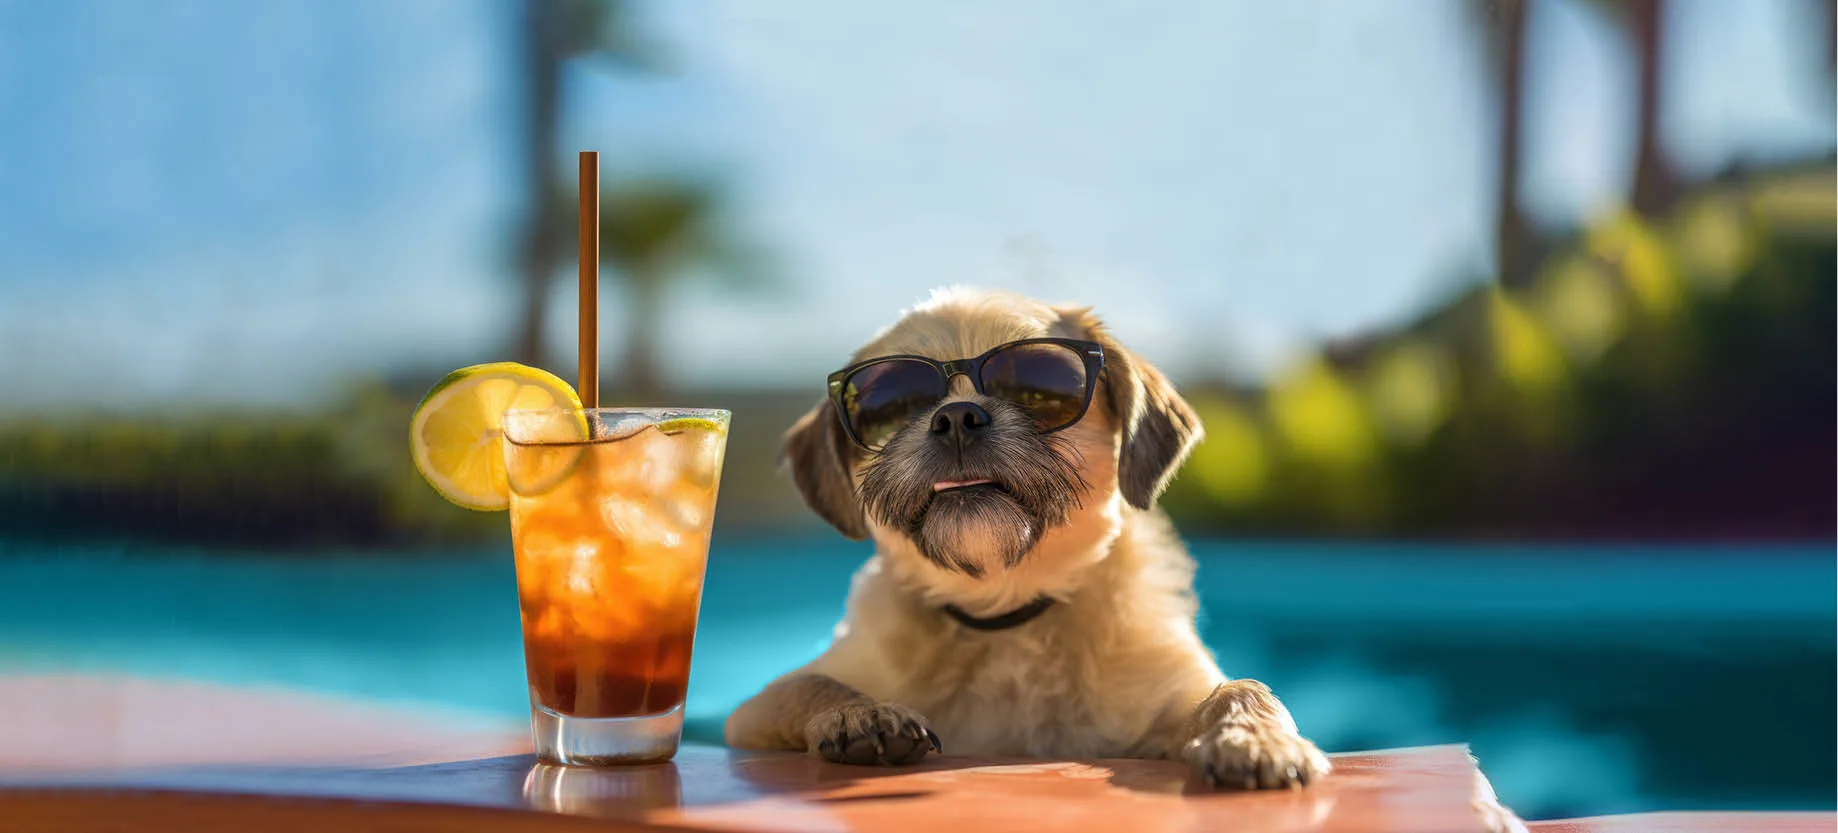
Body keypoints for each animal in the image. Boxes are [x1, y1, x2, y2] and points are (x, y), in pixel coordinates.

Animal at [724, 288, 1330, 790]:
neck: (1005, 612)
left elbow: (1238, 688)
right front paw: (862, 712)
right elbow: (812, 684)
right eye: (892, 404)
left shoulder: (1172, 699)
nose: (956, 416)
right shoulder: (750, 715)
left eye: (1037, 388)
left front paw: (1252, 737)